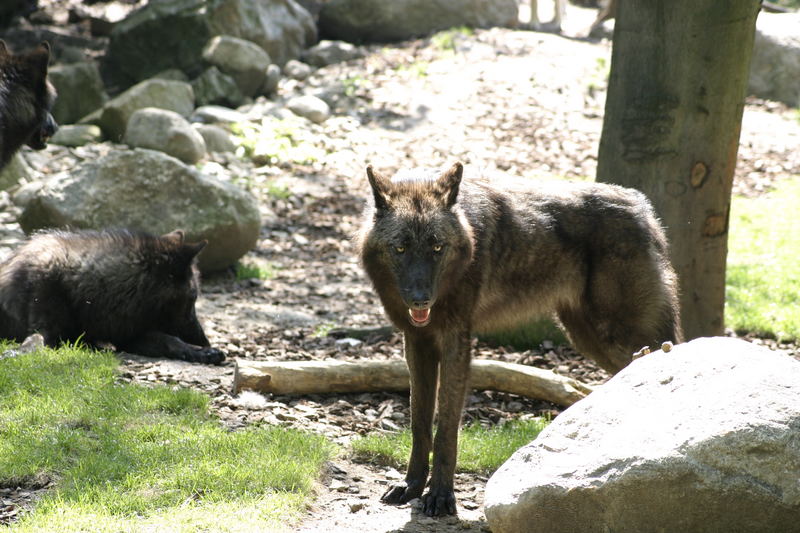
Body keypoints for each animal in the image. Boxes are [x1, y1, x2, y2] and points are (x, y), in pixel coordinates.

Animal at [0, 227, 225, 364]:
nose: (205, 341)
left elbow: (170, 340)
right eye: (192, 298)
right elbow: (35, 341)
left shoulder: (129, 335)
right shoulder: (44, 328)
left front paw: (202, 353)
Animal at [360, 162, 684, 516]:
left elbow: (445, 426)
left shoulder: (456, 341)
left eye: (437, 247)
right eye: (400, 248)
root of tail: (643, 207)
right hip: (590, 339)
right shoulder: (417, 341)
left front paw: (441, 496)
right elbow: (419, 422)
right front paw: (412, 486)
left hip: (619, 336)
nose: (421, 301)